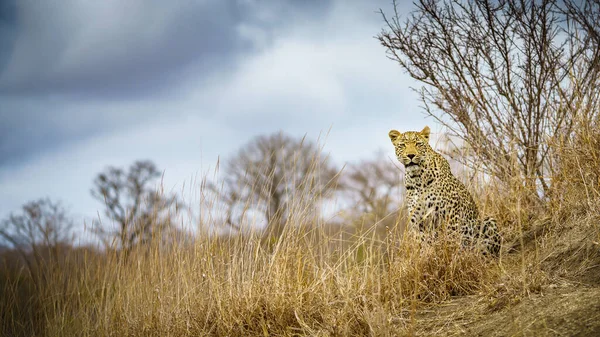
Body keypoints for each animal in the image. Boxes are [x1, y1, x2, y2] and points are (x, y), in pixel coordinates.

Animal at [390, 125, 502, 255]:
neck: (417, 178)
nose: (411, 155)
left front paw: (451, 254)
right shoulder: (417, 219)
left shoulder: (451, 213)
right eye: (403, 145)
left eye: (418, 144)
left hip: (488, 221)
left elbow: (451, 237)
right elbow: (422, 243)